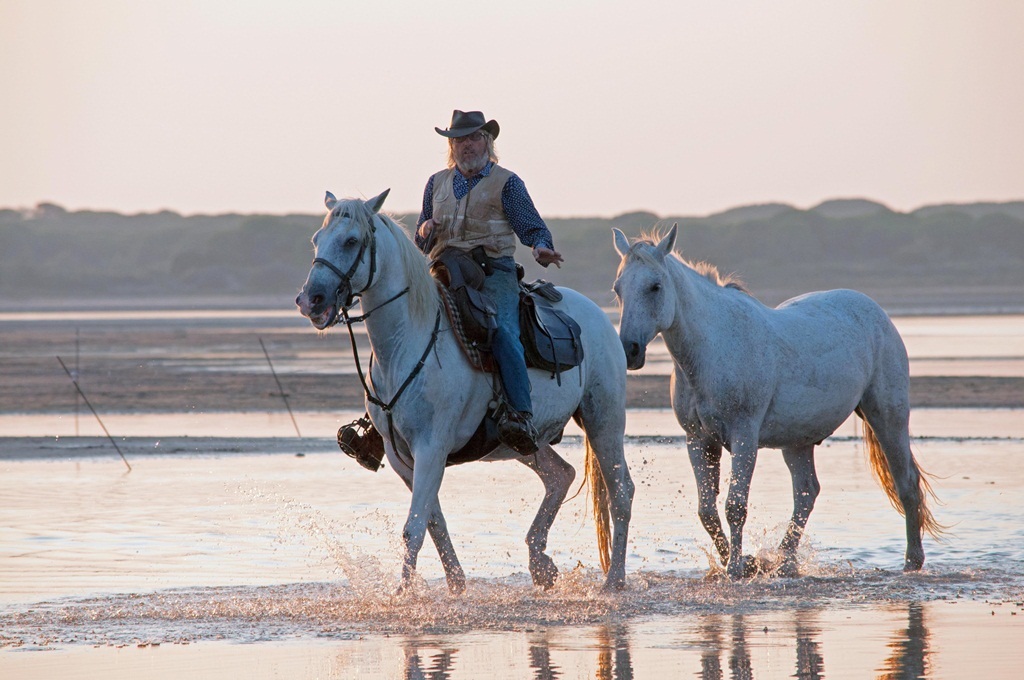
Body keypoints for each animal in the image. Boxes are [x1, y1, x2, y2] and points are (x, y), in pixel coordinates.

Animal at [294, 189, 630, 589]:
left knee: (621, 492)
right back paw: (541, 564)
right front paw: (456, 585)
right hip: (520, 441)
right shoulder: (400, 454)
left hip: (603, 419)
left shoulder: (431, 448)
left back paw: (613, 581)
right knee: (560, 475)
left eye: (351, 240)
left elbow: (414, 528)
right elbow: (433, 522)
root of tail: (596, 315)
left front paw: (403, 593)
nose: (311, 299)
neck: (408, 341)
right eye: (317, 239)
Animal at [610, 225, 937, 577]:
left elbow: (735, 506)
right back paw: (786, 562)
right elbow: (707, 511)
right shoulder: (698, 440)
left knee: (906, 483)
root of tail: (878, 314)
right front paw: (739, 562)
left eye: (655, 286)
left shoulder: (744, 436)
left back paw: (912, 561)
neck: (712, 347)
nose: (629, 349)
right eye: (618, 289)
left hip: (887, 418)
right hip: (797, 442)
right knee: (806, 493)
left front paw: (736, 569)